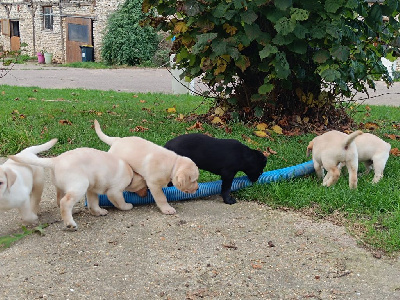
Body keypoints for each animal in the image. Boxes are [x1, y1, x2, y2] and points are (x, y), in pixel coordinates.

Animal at [9, 139, 147, 231]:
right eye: (145, 186)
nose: (146, 195)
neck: (131, 172)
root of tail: (55, 160)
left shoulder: (92, 190)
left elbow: (93, 203)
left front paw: (98, 212)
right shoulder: (114, 191)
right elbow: (120, 202)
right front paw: (127, 206)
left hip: (65, 186)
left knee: (59, 200)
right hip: (80, 185)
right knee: (65, 202)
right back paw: (70, 223)